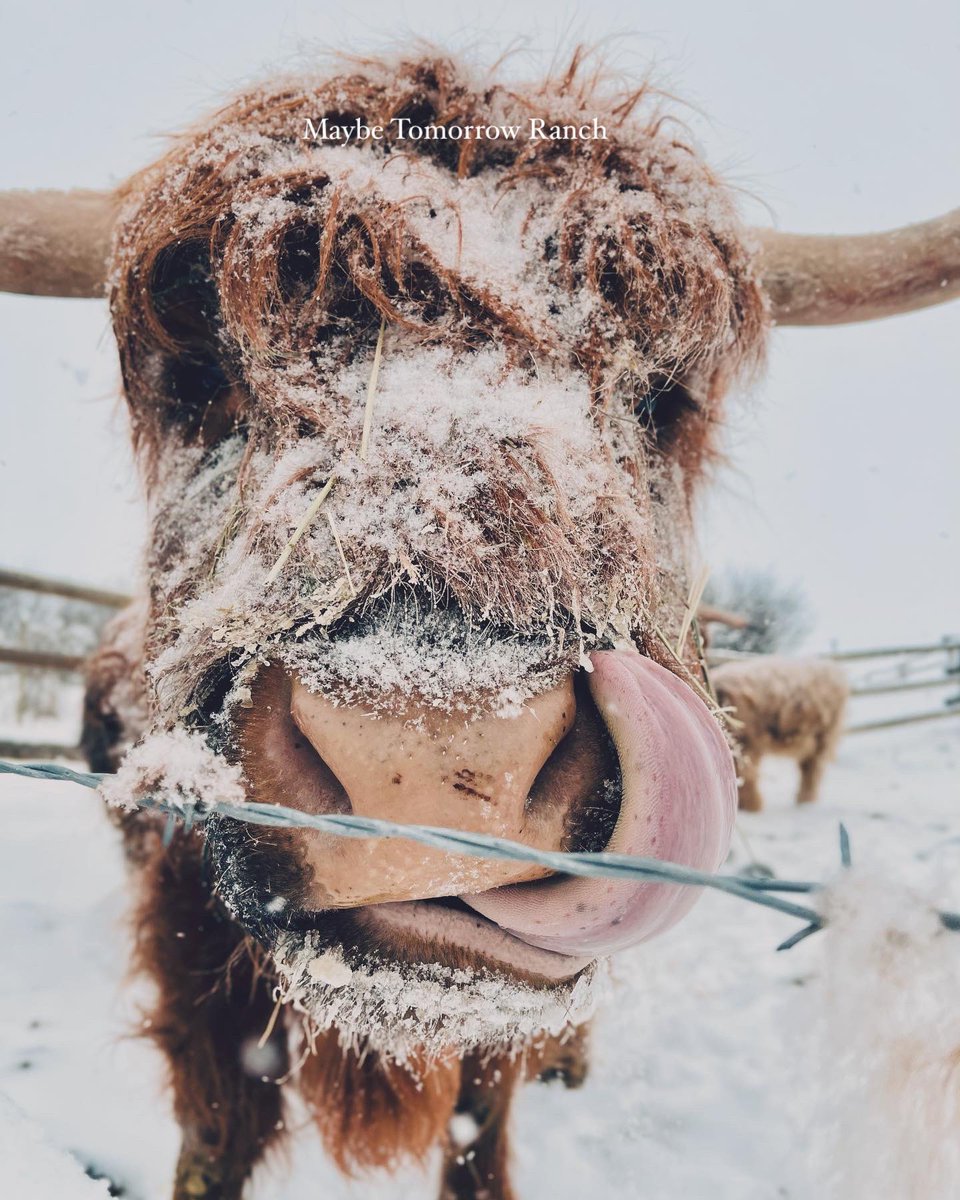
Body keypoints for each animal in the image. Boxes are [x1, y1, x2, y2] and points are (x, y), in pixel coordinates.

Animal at [1, 49, 957, 1200]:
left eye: (668, 395)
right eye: (195, 362)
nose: (423, 754)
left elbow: (480, 1126)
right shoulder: (191, 953)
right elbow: (217, 1135)